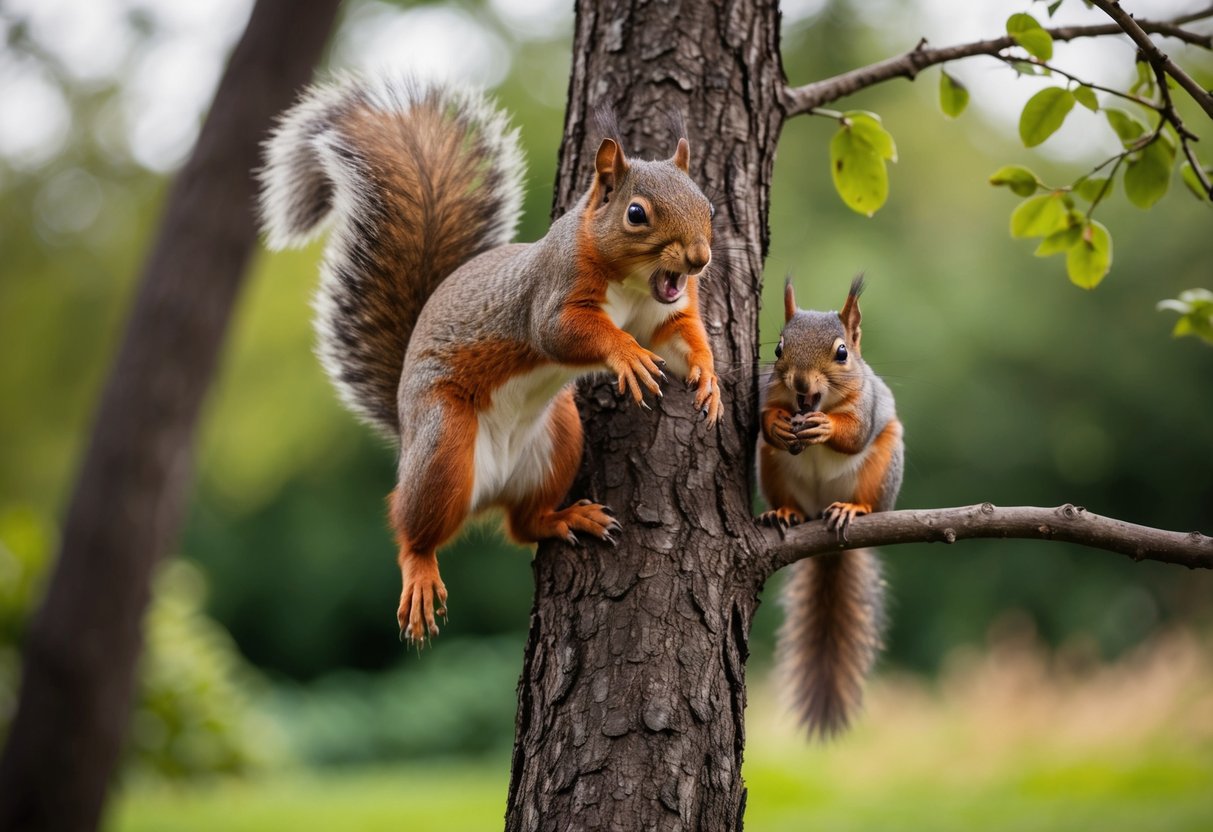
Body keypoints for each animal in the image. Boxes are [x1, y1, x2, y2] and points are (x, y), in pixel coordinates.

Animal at [257, 75, 720, 645]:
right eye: (636, 214)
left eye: (710, 208)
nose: (698, 259)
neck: (635, 286)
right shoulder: (551, 295)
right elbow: (562, 332)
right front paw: (626, 356)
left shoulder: (666, 315)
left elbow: (682, 340)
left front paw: (709, 379)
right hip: (443, 439)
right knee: (410, 523)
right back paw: (419, 571)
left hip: (558, 438)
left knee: (522, 525)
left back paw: (564, 519)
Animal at [757, 275, 904, 739]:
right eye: (778, 349)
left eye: (842, 353)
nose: (801, 385)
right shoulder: (766, 393)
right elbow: (763, 419)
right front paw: (777, 422)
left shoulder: (865, 408)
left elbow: (852, 433)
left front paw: (825, 427)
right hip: (772, 470)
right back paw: (784, 513)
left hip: (882, 466)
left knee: (866, 495)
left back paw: (851, 510)